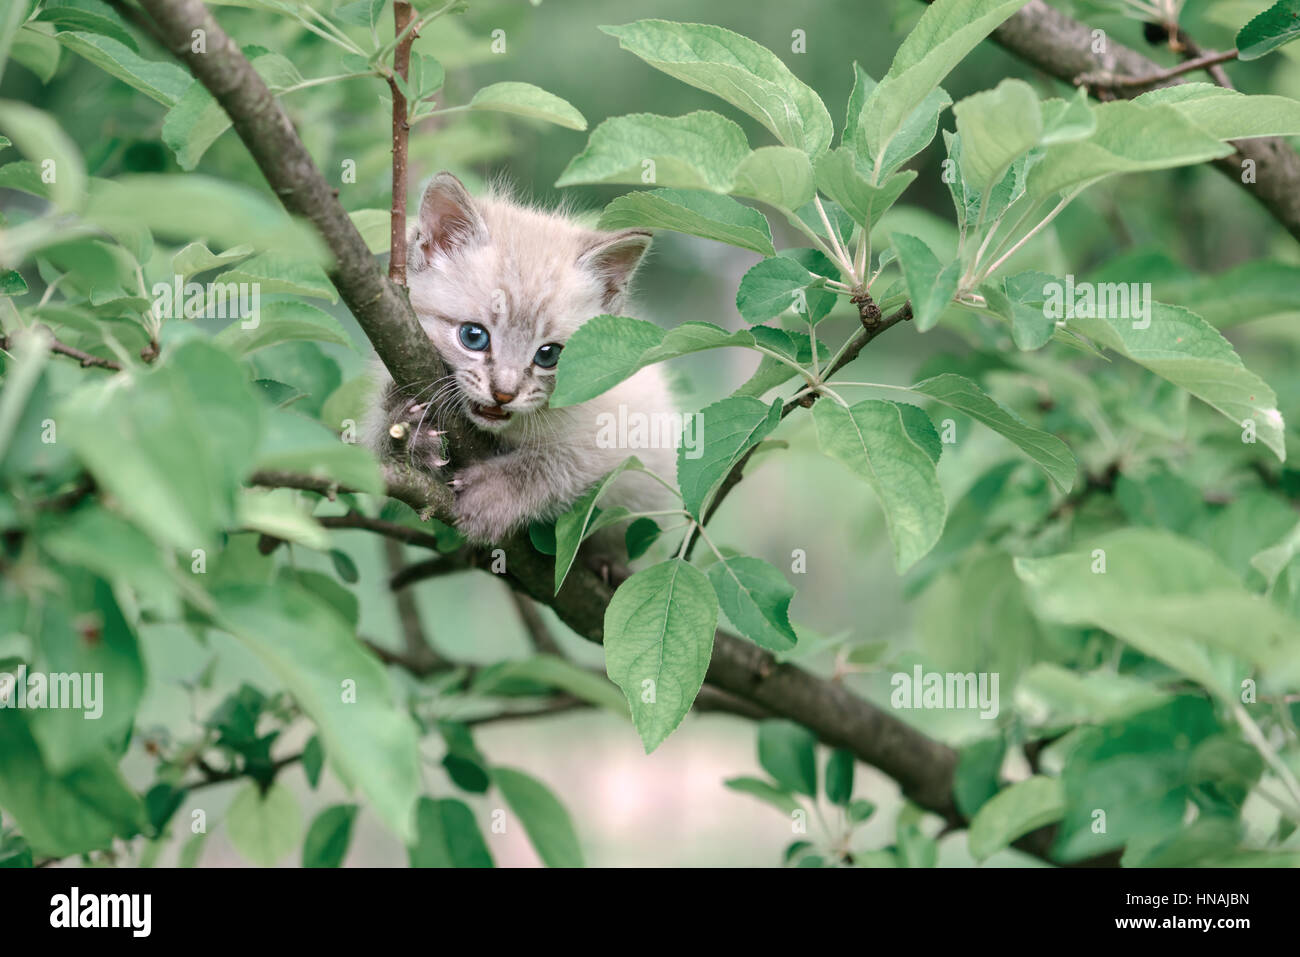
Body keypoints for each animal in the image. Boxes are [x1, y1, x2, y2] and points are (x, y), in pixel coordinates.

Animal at [369, 172, 681, 546]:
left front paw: (495, 492)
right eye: (473, 336)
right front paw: (407, 426)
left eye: (549, 355)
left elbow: (566, 461)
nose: (504, 393)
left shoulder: (630, 432)